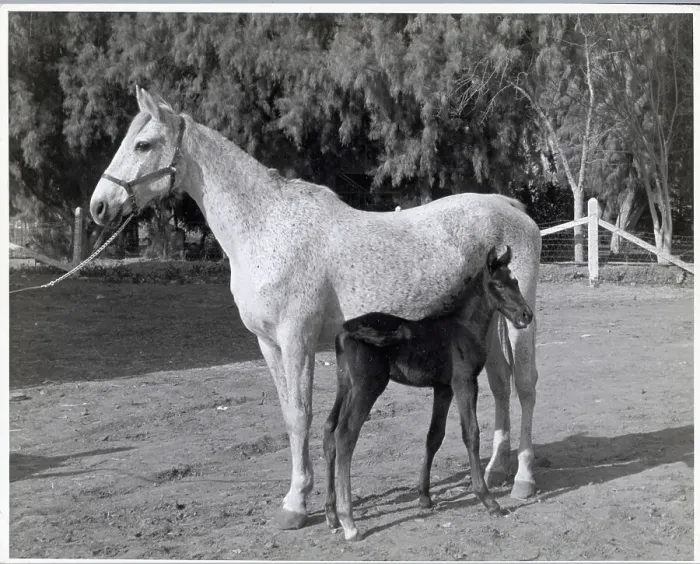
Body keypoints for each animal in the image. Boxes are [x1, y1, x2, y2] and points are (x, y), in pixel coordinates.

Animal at [323, 245, 532, 541]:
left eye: (515, 282)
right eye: (499, 285)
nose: (526, 315)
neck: (463, 326)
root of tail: (344, 330)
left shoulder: (443, 388)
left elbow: (434, 436)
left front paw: (424, 497)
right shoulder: (464, 382)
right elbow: (471, 434)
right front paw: (488, 500)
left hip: (345, 384)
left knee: (329, 429)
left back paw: (331, 515)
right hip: (368, 386)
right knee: (345, 435)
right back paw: (349, 522)